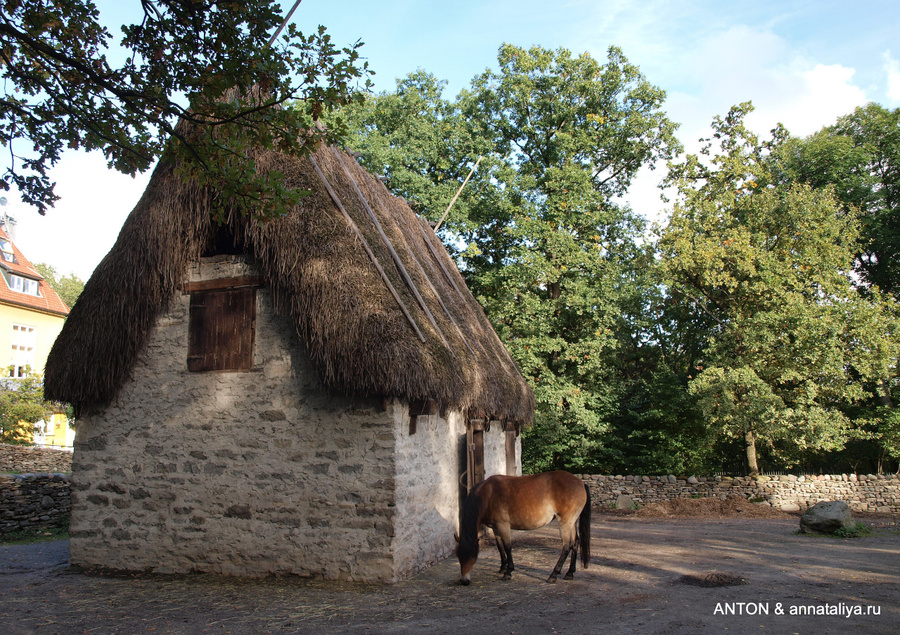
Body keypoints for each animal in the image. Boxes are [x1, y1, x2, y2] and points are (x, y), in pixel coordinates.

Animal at [458, 472, 592, 588]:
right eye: (459, 556)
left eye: (473, 556)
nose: (464, 581)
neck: (488, 495)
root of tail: (581, 483)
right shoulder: (495, 528)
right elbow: (500, 547)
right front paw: (502, 567)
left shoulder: (503, 525)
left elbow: (507, 547)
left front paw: (508, 572)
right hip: (572, 522)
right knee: (575, 543)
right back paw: (569, 573)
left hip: (565, 522)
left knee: (567, 545)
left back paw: (553, 575)